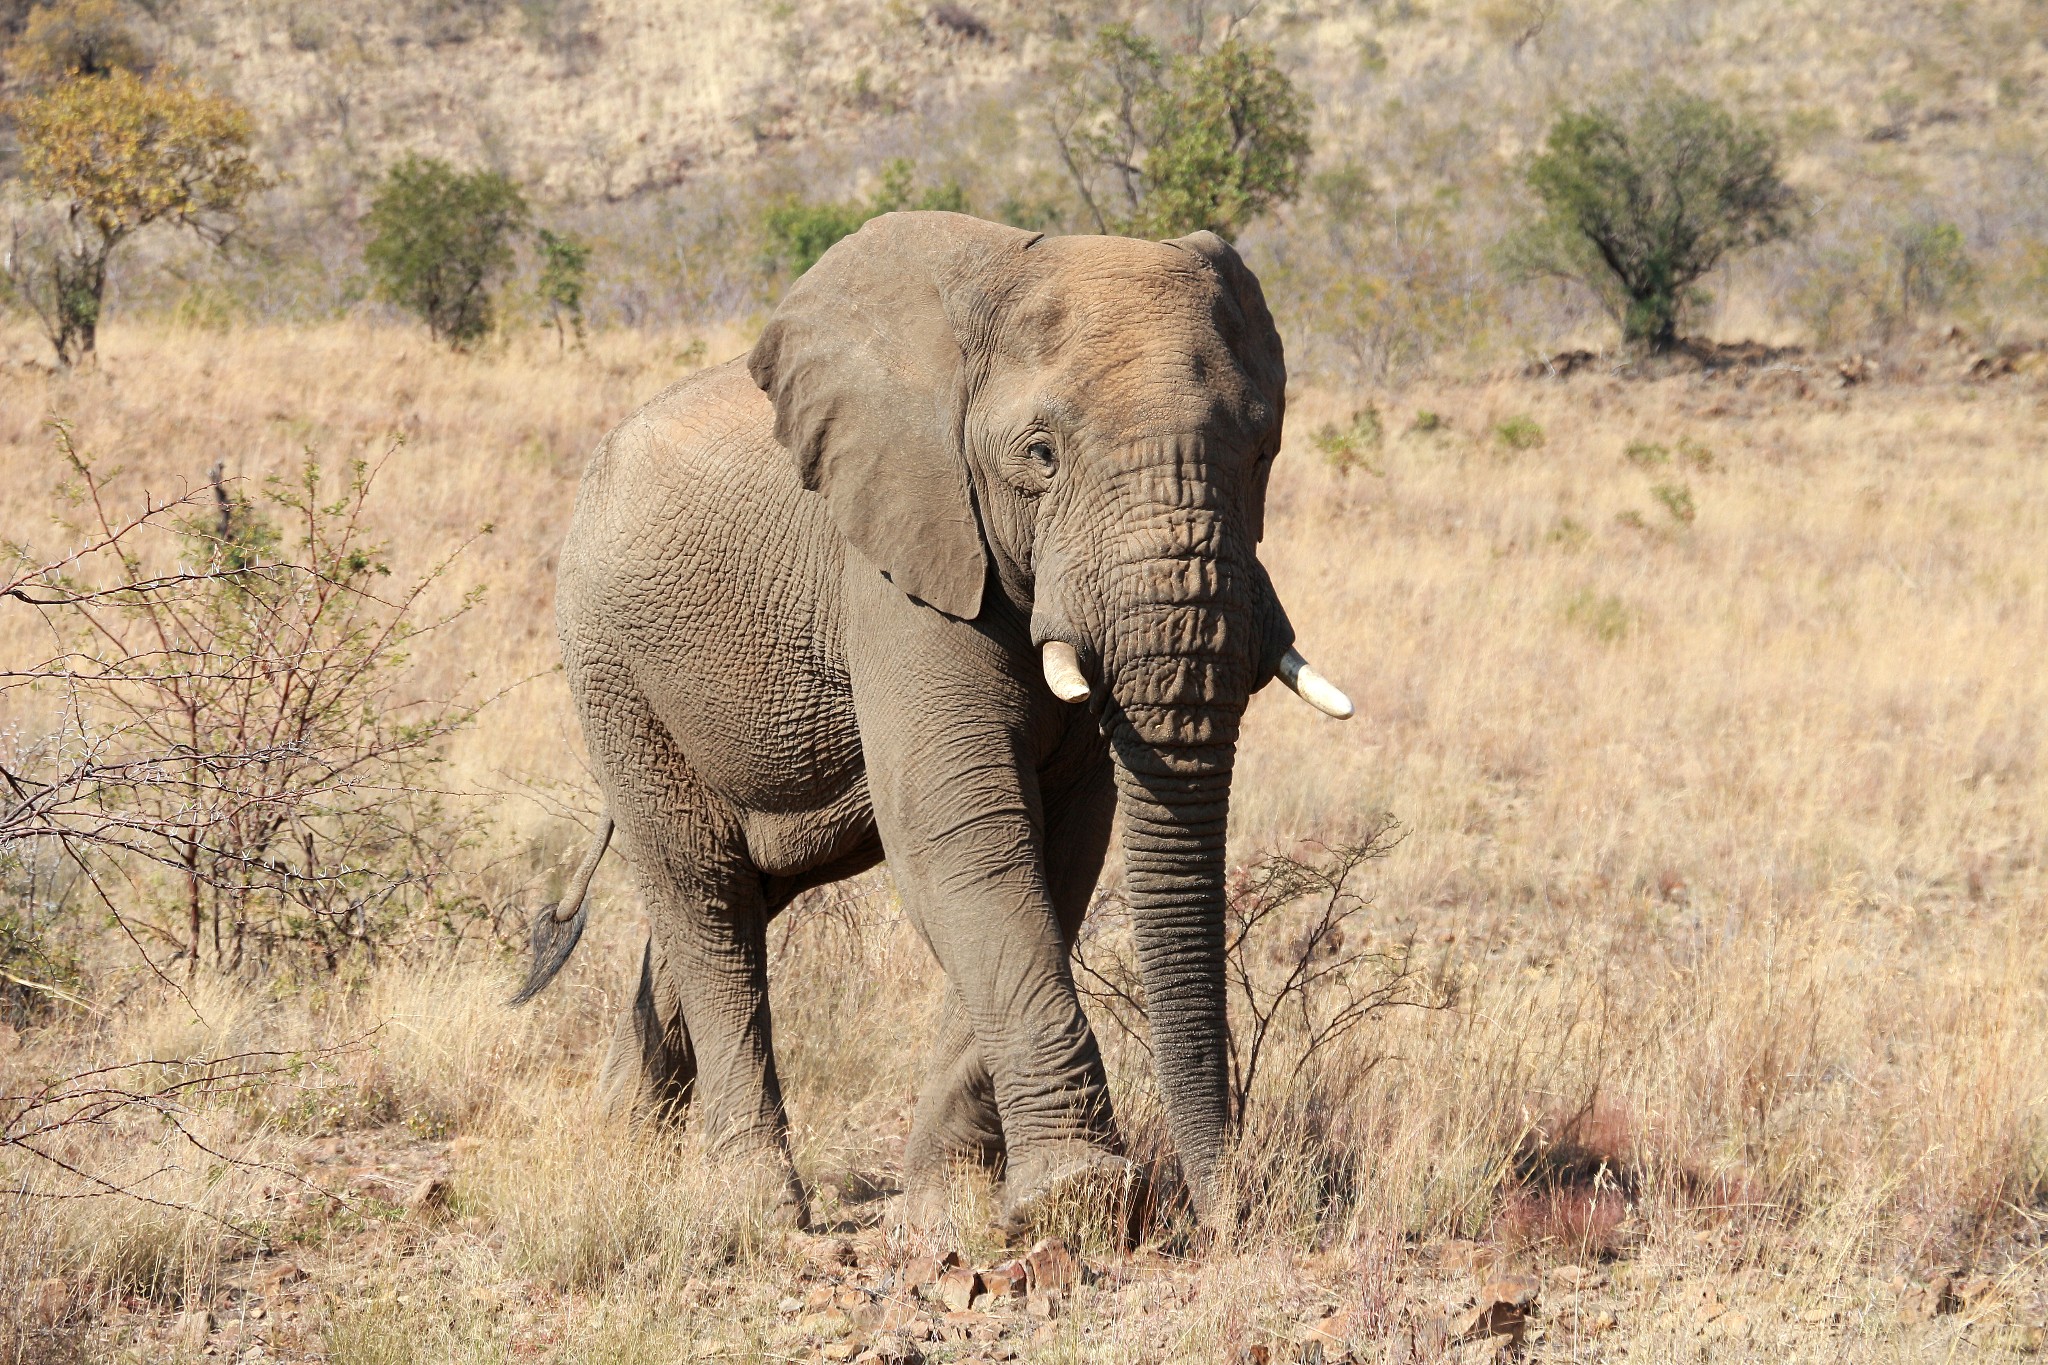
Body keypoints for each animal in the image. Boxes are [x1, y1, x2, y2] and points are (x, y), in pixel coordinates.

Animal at [512, 208, 1351, 1236]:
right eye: (1040, 455)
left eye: (1263, 448)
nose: (1225, 1215)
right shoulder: (898, 557)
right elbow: (961, 829)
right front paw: (1076, 1197)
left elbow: (1062, 845)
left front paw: (954, 1199)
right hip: (609, 663)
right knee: (701, 890)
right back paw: (757, 1206)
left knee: (737, 891)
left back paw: (631, 1145)